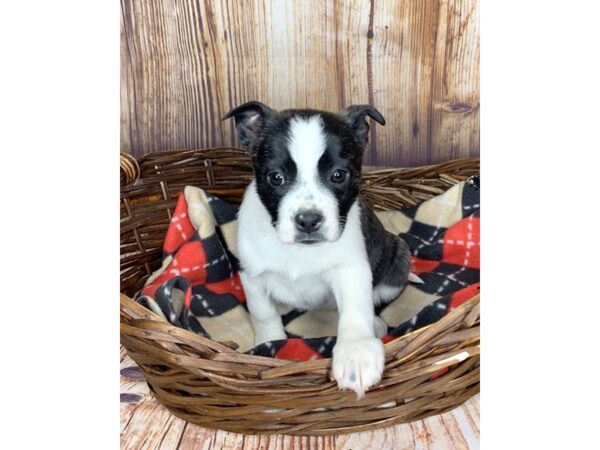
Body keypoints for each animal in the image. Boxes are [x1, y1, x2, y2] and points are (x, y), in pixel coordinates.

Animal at [224, 102, 412, 398]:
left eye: (339, 175)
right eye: (276, 178)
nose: (308, 220)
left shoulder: (352, 271)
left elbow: (355, 312)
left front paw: (356, 353)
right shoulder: (251, 274)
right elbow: (262, 312)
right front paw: (270, 343)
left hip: (398, 260)